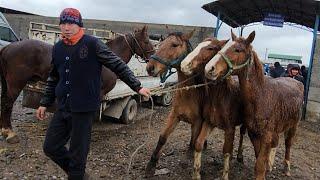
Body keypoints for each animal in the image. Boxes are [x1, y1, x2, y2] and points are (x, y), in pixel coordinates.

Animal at [0, 25, 155, 143]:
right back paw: (10, 133)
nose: (152, 60)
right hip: (15, 84)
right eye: (147, 41)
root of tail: (9, 47)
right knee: (8, 104)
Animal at [181, 37, 246, 179]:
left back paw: (239, 156)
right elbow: (199, 144)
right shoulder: (209, 123)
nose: (184, 64)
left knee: (242, 134)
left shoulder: (230, 128)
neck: (221, 96)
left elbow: (226, 150)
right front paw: (196, 174)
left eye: (210, 48)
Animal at [204, 30, 304, 179]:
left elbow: (260, 165)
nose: (209, 68)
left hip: (293, 126)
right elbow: (259, 160)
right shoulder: (254, 134)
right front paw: (266, 167)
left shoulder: (266, 135)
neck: (261, 96)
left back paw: (286, 167)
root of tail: (297, 82)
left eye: (238, 49)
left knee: (288, 144)